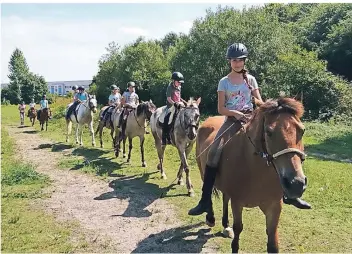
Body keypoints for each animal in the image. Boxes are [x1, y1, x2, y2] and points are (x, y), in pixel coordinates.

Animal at [195, 96, 308, 252]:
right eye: (269, 132)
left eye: (302, 131)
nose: (295, 184)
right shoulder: (237, 202)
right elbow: (238, 230)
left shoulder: (274, 206)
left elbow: (273, 242)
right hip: (203, 170)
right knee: (208, 192)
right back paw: (210, 218)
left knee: (224, 197)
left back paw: (225, 226)